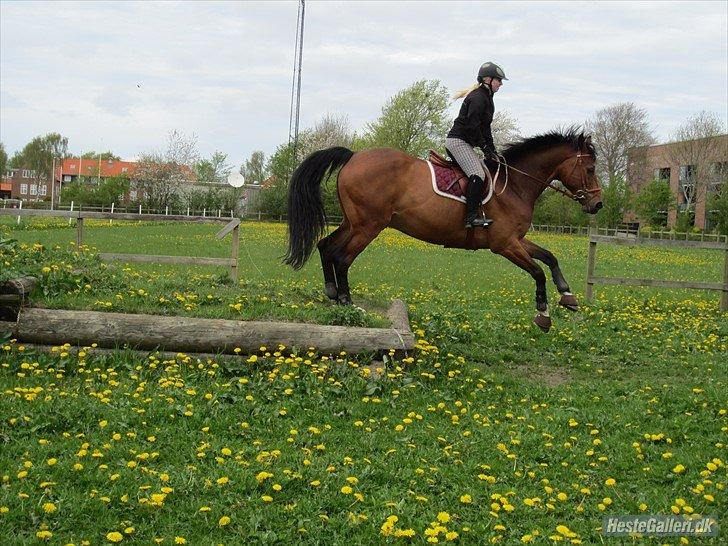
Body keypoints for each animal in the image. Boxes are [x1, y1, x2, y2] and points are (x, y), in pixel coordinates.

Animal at [284, 129, 604, 332]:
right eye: (590, 170)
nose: (598, 204)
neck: (514, 184)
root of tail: (353, 156)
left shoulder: (516, 239)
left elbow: (550, 257)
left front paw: (568, 296)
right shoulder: (504, 244)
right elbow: (538, 272)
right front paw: (543, 315)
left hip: (353, 222)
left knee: (326, 245)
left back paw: (331, 292)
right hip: (368, 225)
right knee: (342, 257)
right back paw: (347, 301)